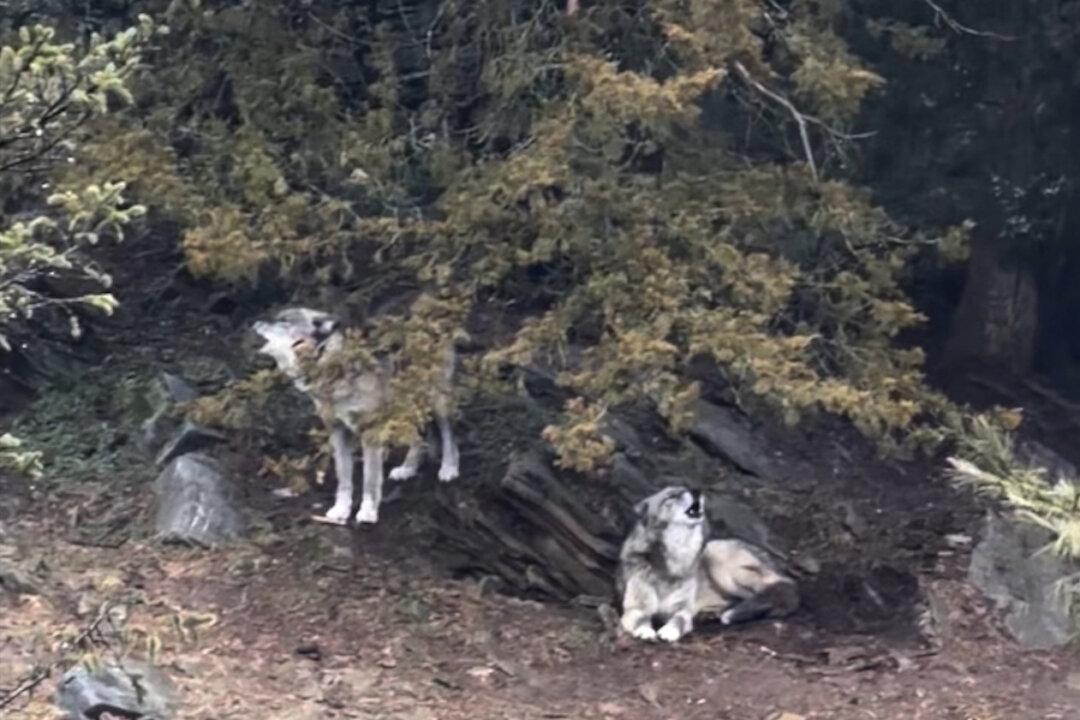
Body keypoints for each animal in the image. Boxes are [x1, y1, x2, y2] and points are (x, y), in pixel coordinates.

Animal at [251, 307, 459, 525]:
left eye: (284, 321)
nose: (254, 323)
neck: (329, 363)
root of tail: (429, 318)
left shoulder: (371, 432)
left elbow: (369, 479)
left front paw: (367, 512)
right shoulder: (338, 432)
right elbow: (344, 479)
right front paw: (341, 510)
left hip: (438, 401)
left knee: (449, 436)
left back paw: (449, 468)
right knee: (420, 439)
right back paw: (407, 468)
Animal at [616, 485, 798, 642]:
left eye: (686, 488)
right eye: (671, 496)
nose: (696, 491)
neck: (676, 558)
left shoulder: (682, 610)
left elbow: (678, 620)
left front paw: (669, 631)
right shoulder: (635, 609)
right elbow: (641, 619)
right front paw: (645, 631)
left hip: (719, 562)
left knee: (772, 592)